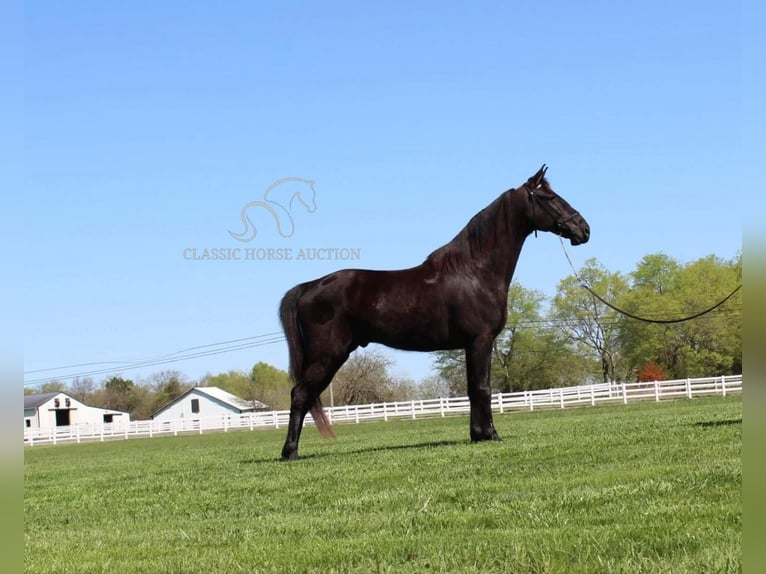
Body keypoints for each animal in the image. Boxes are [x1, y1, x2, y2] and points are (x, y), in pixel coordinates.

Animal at [278, 165, 590, 459]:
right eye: (550, 198)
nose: (583, 229)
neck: (475, 272)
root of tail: (310, 286)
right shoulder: (480, 340)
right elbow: (483, 388)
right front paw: (489, 434)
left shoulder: (472, 344)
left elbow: (473, 388)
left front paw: (477, 434)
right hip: (328, 356)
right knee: (300, 395)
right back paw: (289, 452)